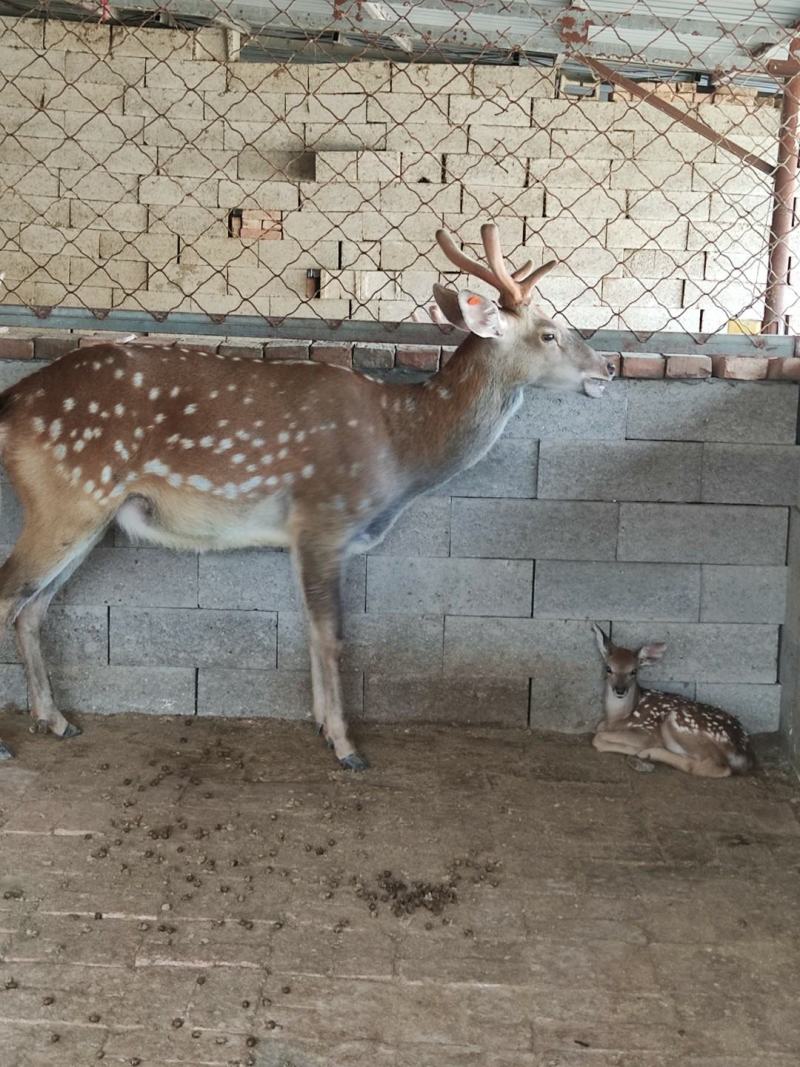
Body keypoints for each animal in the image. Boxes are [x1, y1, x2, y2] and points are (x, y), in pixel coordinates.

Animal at [0, 220, 614, 768]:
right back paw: (11, 742)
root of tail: (11, 403)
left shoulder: (307, 535)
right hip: (67, 496)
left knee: (33, 609)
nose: (606, 369)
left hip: (93, 515)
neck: (401, 445)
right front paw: (345, 745)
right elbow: (332, 633)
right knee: (11, 594)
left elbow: (313, 630)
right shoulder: (324, 517)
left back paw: (56, 719)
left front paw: (323, 725)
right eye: (550, 332)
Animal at [593, 623, 755, 781]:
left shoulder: (647, 731)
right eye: (608, 668)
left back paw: (650, 753)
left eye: (634, 671)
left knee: (716, 767)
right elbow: (598, 729)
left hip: (678, 723)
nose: (620, 690)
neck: (618, 718)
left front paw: (634, 749)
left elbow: (598, 738)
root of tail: (743, 751)